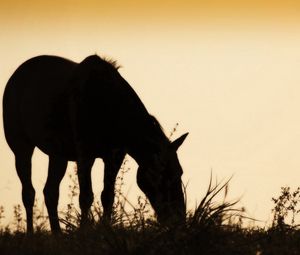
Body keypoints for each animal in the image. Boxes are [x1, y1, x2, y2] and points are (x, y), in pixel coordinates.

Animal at [2, 54, 189, 233]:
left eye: (180, 172)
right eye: (163, 175)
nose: (178, 218)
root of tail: (14, 77)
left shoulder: (114, 156)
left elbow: (107, 195)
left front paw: (105, 229)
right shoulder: (85, 154)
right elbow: (86, 196)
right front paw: (84, 231)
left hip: (58, 155)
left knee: (50, 192)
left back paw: (57, 234)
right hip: (21, 147)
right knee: (28, 192)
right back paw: (30, 234)